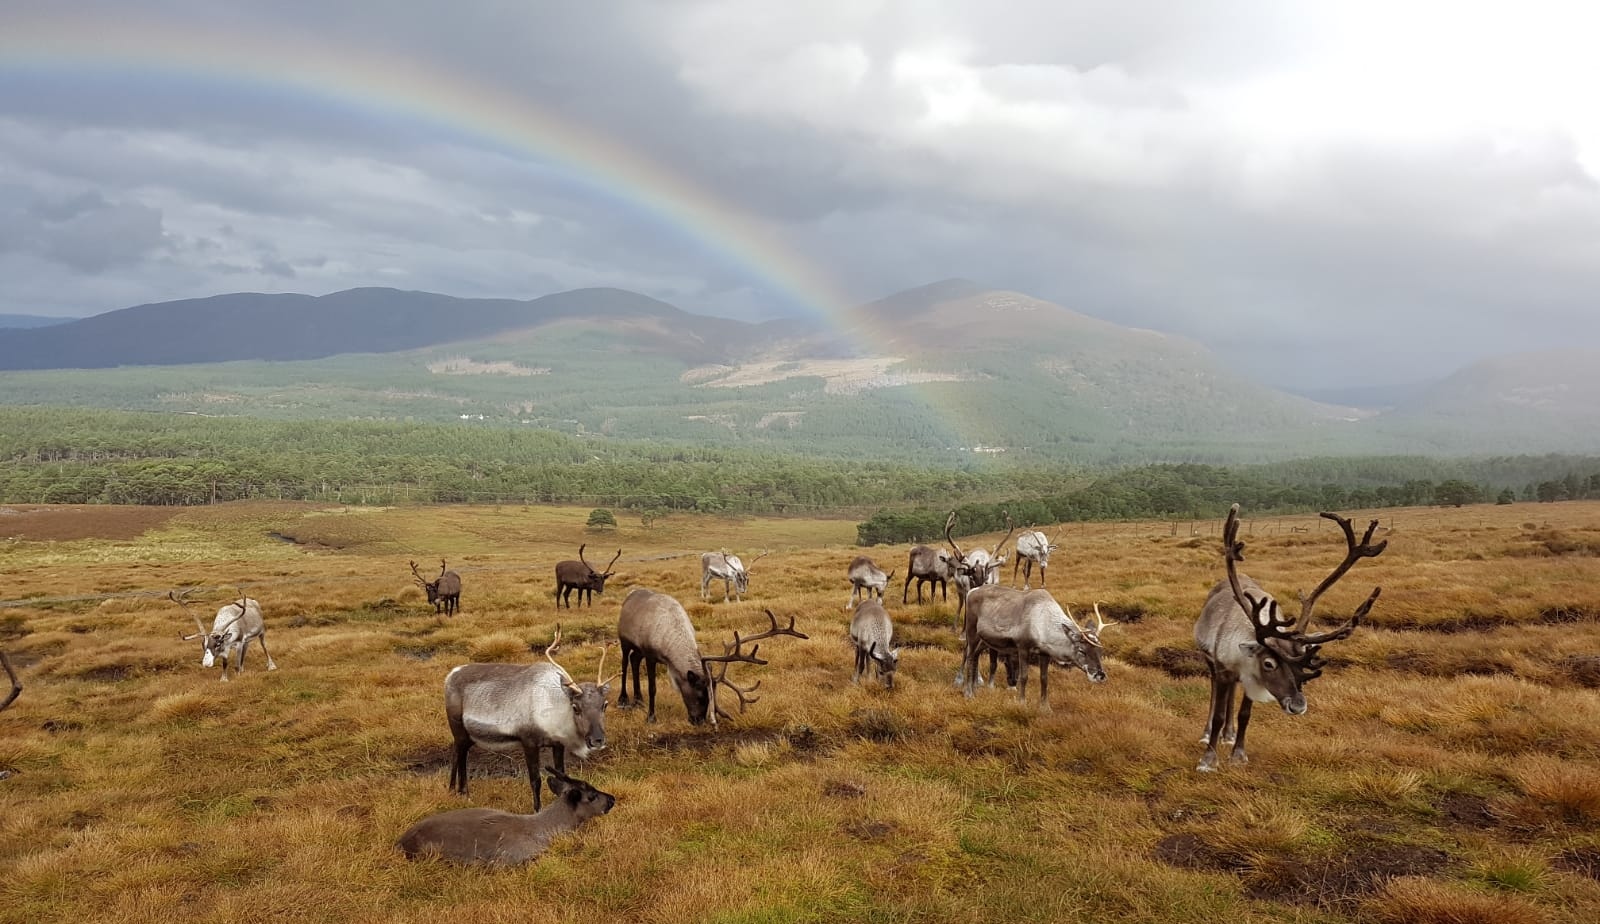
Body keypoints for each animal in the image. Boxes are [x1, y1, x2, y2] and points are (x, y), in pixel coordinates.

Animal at [444, 627, 612, 811]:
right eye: (575, 707)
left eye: (604, 705)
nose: (597, 740)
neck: (554, 708)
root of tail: (450, 675)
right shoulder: (529, 742)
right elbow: (535, 780)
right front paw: (537, 809)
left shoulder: (557, 744)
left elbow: (561, 776)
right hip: (458, 730)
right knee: (457, 755)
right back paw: (456, 792)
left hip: (470, 736)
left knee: (461, 755)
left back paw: (460, 792)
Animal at [617, 588, 807, 725]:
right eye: (700, 696)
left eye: (711, 698)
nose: (698, 721)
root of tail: (629, 596)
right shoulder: (650, 654)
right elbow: (652, 688)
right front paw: (651, 717)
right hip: (624, 640)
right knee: (625, 663)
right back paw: (623, 699)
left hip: (637, 649)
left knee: (634, 659)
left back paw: (638, 700)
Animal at [960, 584, 1110, 712]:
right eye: (1081, 650)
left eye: (1100, 650)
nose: (1100, 675)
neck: (1042, 625)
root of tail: (971, 591)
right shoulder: (1022, 647)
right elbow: (1024, 677)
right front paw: (1022, 703)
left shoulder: (1045, 653)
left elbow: (1044, 679)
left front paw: (1045, 707)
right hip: (971, 631)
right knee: (969, 656)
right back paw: (969, 693)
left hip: (984, 640)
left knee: (975, 656)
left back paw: (975, 688)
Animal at [1195, 504, 1384, 772]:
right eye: (1269, 663)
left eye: (1300, 668)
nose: (1298, 705)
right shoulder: (1223, 668)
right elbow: (1219, 712)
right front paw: (1208, 760)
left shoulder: (1250, 677)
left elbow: (1245, 715)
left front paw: (1238, 754)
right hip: (1210, 662)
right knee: (1215, 694)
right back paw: (1208, 733)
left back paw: (1228, 735)